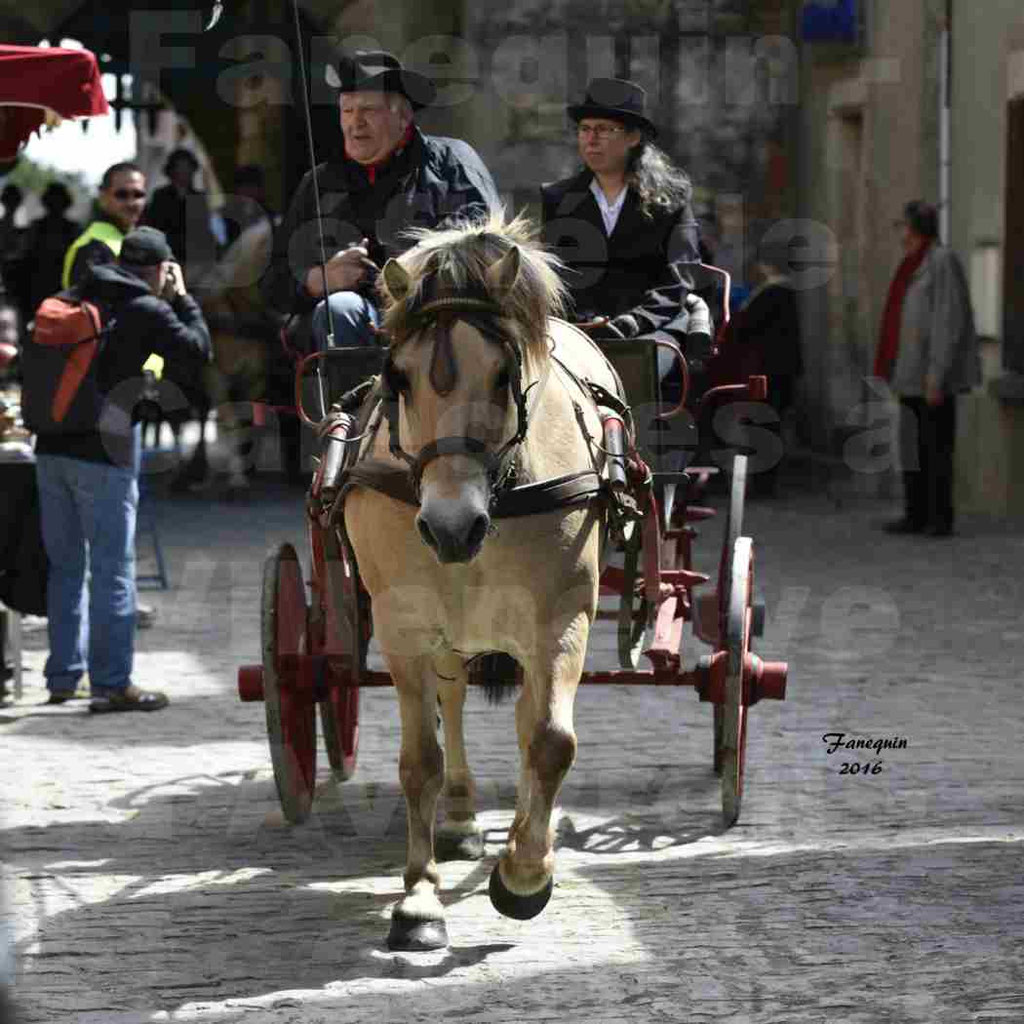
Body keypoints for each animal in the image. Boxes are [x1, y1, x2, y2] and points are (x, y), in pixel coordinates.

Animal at [342, 216, 622, 950]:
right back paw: (462, 819)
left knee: (528, 721)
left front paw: (524, 876)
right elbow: (421, 760)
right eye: (398, 377)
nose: (449, 527)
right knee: (455, 697)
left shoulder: (562, 617)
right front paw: (419, 899)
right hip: (447, 634)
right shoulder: (404, 626)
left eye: (503, 373)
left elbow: (550, 740)